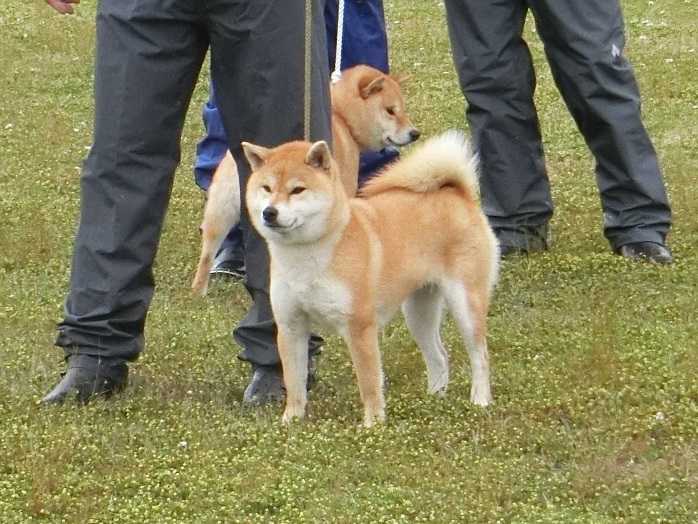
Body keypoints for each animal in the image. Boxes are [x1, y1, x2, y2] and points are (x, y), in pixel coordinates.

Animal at [242, 130, 498, 426]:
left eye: (297, 190)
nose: (269, 212)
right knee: (439, 356)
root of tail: (456, 192)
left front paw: (372, 425)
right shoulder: (290, 326)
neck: (308, 256)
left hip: (465, 303)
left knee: (480, 355)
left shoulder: (359, 327)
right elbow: (294, 383)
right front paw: (290, 421)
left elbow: (369, 382)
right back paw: (433, 399)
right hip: (418, 311)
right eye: (266, 188)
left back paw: (480, 400)